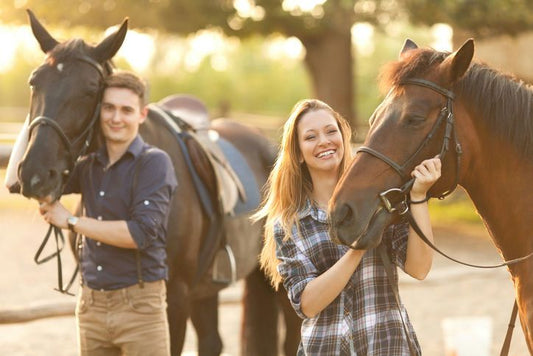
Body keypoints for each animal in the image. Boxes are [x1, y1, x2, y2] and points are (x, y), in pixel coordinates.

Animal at [15, 9, 300, 354]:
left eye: (91, 89)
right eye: (35, 82)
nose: (35, 174)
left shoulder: (174, 298)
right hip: (208, 288)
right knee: (212, 341)